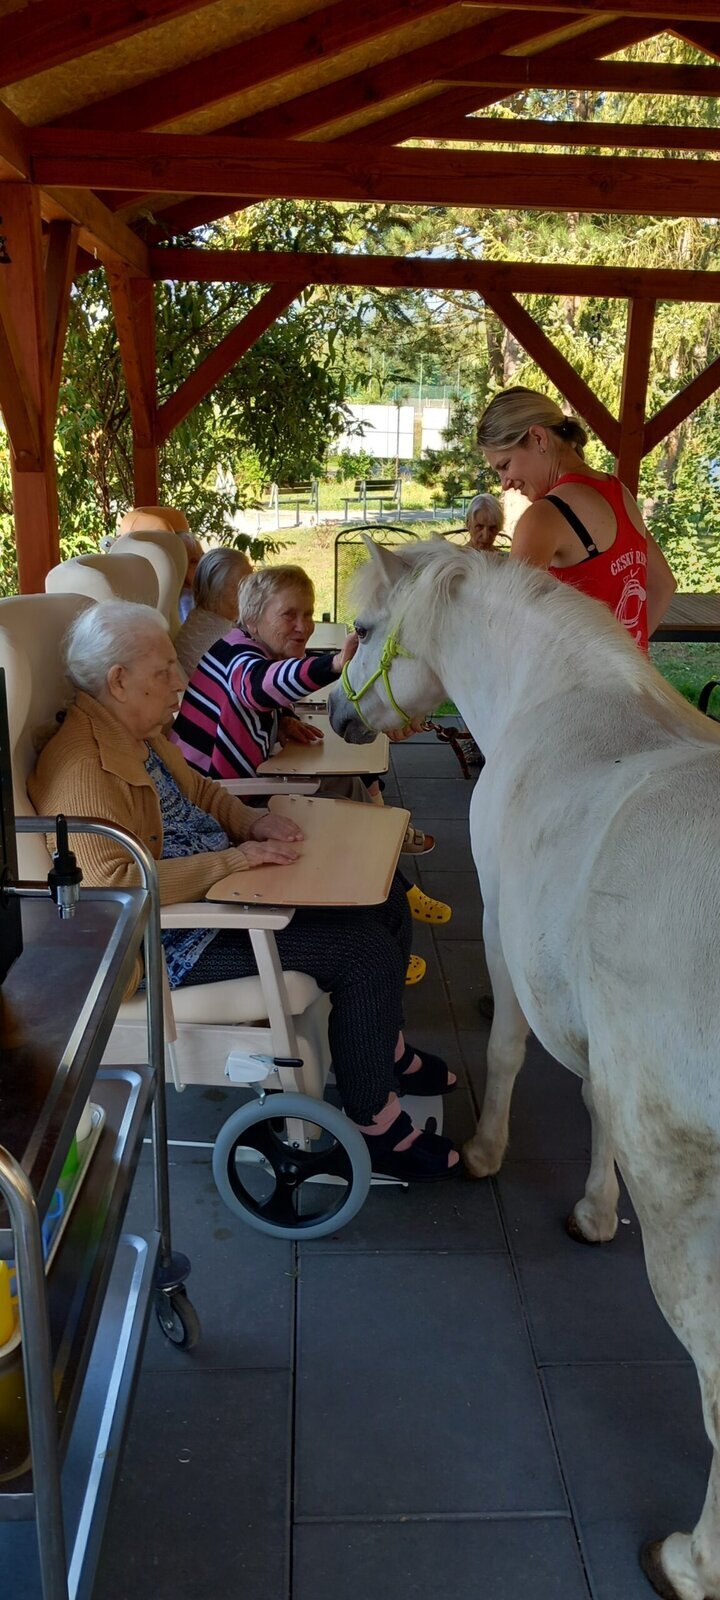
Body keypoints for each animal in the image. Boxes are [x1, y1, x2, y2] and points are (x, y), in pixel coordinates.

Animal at [328, 536, 720, 1600]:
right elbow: (591, 1100)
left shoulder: (508, 932)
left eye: (366, 626)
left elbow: (507, 1052)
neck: (563, 698)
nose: (336, 713)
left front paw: (485, 1154)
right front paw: (592, 1210)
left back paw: (689, 1561)